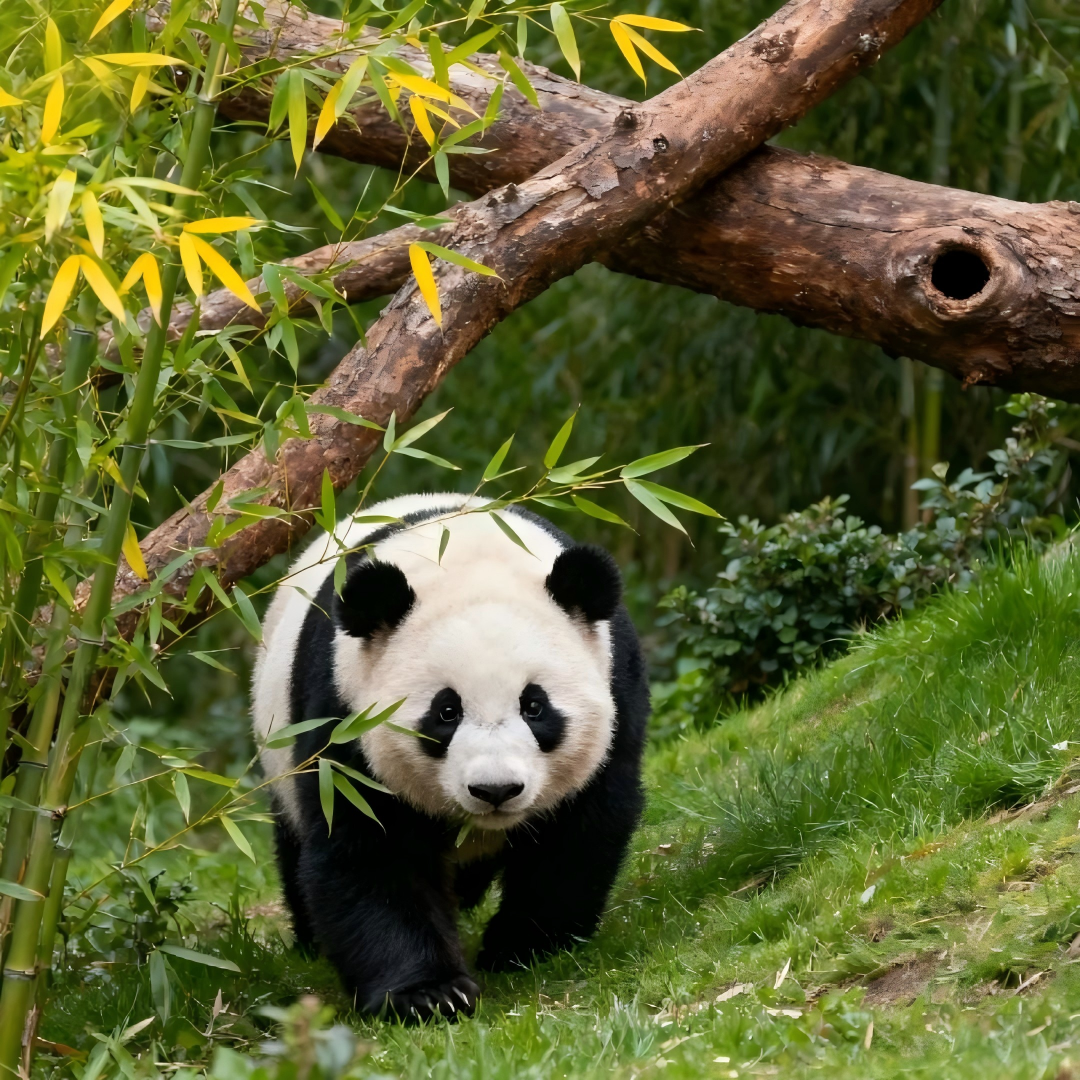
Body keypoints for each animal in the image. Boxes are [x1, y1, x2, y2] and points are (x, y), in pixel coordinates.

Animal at [251, 493, 649, 1020]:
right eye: (446, 712)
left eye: (534, 706)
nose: (496, 790)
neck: (464, 554)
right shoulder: (340, 714)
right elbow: (369, 851)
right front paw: (429, 993)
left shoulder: (616, 689)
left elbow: (580, 830)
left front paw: (524, 946)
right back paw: (310, 943)